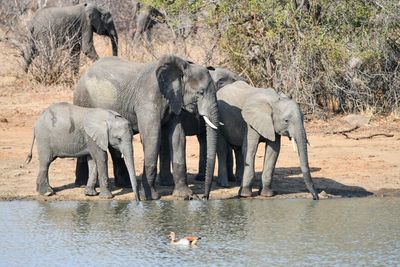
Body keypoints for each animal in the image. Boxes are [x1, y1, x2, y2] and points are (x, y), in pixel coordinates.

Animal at [73, 55, 220, 201]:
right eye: (200, 93)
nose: (205, 197)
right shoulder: (148, 100)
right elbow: (152, 138)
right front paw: (150, 197)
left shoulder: (175, 100)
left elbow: (178, 138)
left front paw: (186, 196)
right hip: (83, 100)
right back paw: (82, 184)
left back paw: (124, 184)